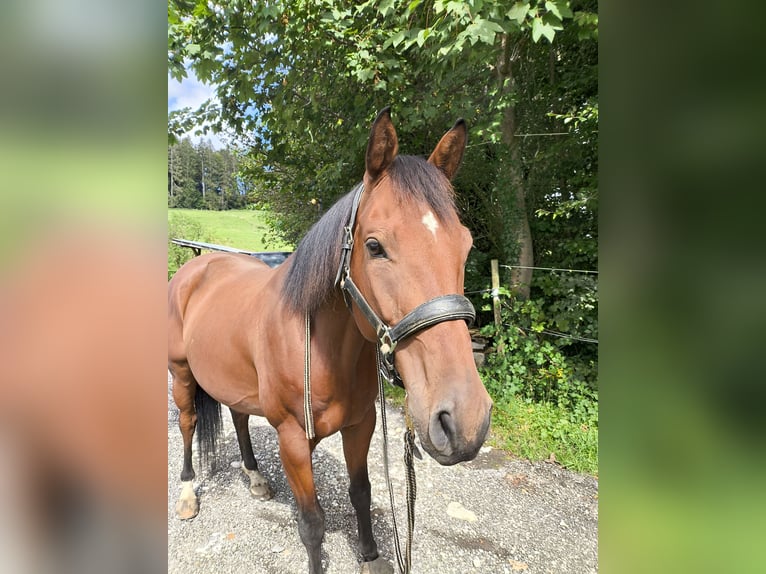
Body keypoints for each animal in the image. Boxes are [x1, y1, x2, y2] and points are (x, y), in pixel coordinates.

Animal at [167, 109, 492, 574]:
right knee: (189, 422)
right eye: (374, 246)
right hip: (181, 374)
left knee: (240, 417)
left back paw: (255, 477)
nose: (464, 420)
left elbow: (362, 492)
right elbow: (312, 523)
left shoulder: (361, 425)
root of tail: (195, 267)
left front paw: (370, 556)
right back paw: (187, 493)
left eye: (465, 245)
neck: (324, 351)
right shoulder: (292, 441)